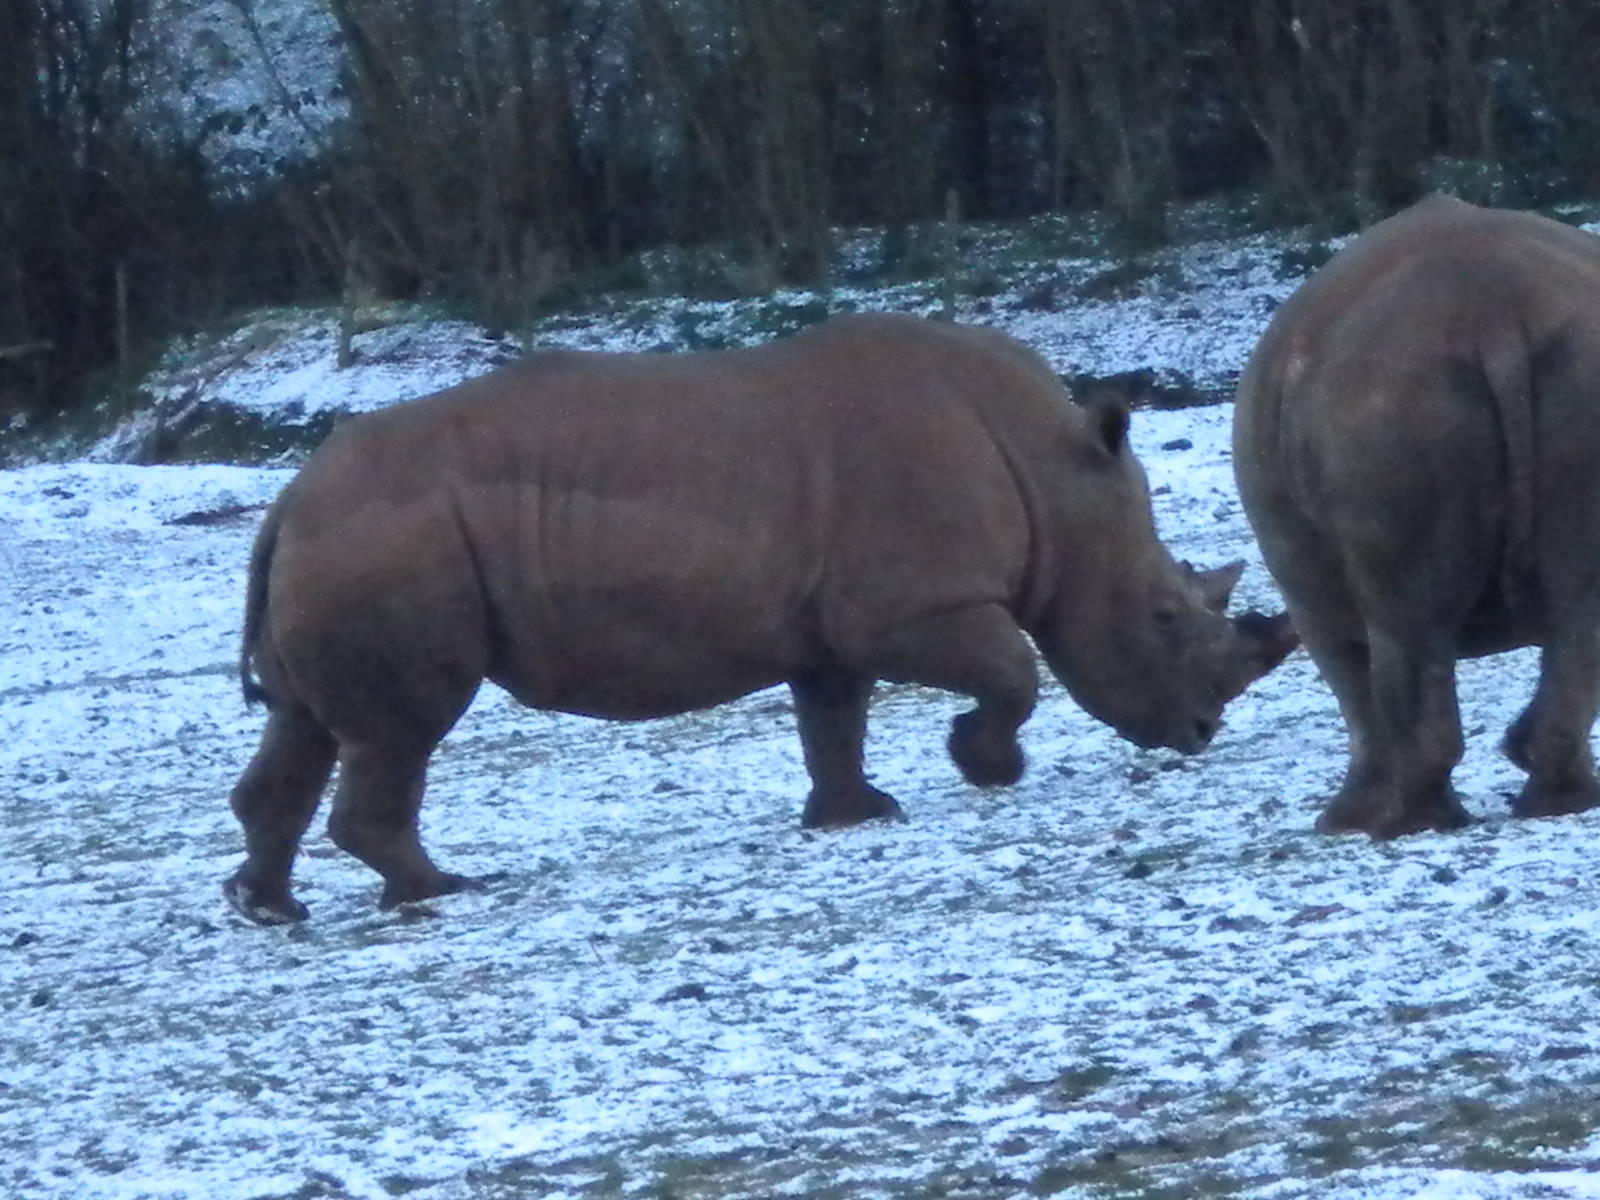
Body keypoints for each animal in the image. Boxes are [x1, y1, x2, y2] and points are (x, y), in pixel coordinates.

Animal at [225, 313, 1295, 922]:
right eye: (1165, 616)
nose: (1203, 732)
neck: (1057, 482)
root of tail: (288, 500)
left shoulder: (831, 624)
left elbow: (834, 718)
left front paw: (855, 817)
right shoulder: (912, 605)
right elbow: (1012, 671)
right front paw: (985, 770)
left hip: (348, 537)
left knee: (305, 723)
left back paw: (269, 910)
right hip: (387, 541)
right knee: (403, 731)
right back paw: (433, 893)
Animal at [1235, 194, 1600, 837]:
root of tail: (1492, 307)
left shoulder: (1302, 589)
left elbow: (1349, 683)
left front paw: (1340, 821)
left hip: (1385, 405)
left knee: (1403, 624)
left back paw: (1402, 821)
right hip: (1579, 375)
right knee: (1579, 604)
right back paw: (1556, 798)